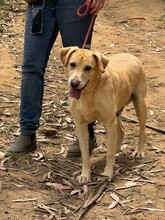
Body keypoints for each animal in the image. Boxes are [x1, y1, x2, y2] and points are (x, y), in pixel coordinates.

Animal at [60, 46, 147, 184]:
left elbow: (109, 154)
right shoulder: (81, 125)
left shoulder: (109, 122)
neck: (89, 93)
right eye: (72, 64)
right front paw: (85, 175)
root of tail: (131, 55)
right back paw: (117, 148)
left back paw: (138, 151)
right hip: (115, 115)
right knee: (121, 130)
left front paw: (107, 174)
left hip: (139, 104)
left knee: (142, 130)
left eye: (88, 68)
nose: (74, 83)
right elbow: (85, 154)